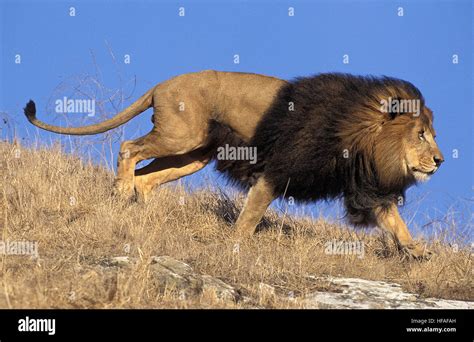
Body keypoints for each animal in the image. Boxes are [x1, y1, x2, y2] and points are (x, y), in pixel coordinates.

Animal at [23, 70, 444, 260]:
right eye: (421, 134)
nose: (440, 161)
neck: (359, 135)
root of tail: (162, 84)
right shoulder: (277, 170)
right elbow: (252, 214)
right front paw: (235, 246)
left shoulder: (365, 186)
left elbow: (394, 219)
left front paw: (416, 252)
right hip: (180, 138)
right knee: (128, 148)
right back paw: (122, 191)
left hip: (193, 154)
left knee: (147, 177)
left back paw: (138, 206)